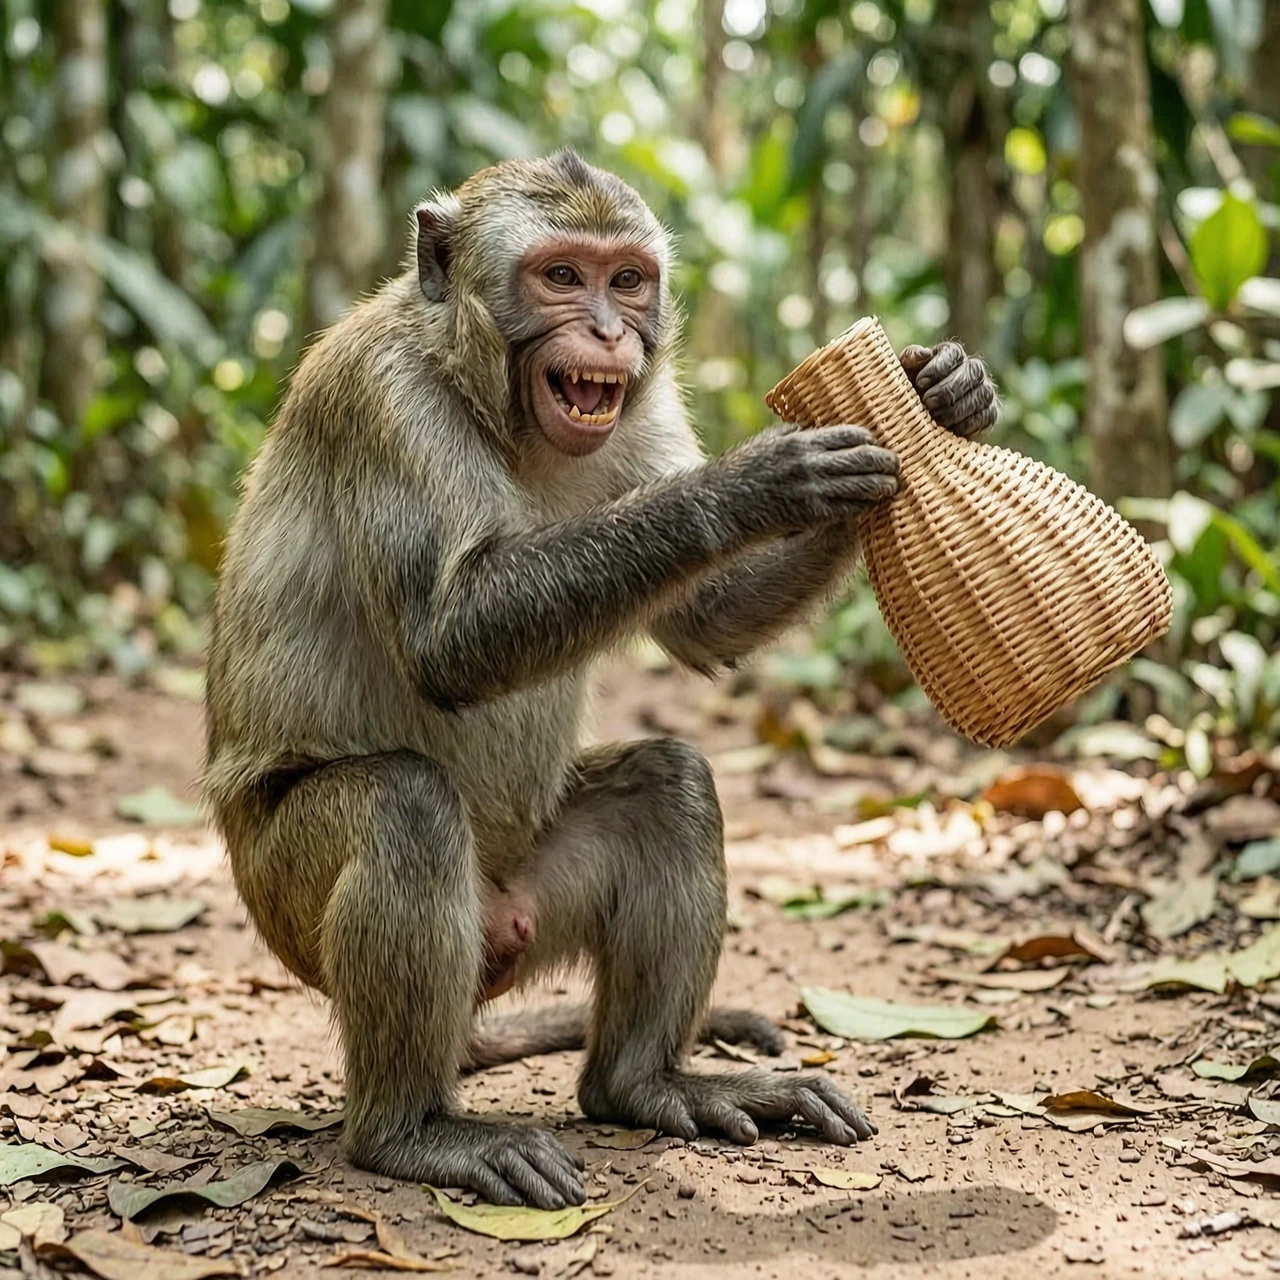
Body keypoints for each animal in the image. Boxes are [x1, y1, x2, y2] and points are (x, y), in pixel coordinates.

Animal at [204, 149, 999, 1211]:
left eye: (626, 279)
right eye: (559, 276)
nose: (611, 332)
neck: (495, 402)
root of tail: (496, 928)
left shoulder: (644, 403)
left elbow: (707, 618)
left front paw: (942, 394)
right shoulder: (381, 400)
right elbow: (446, 637)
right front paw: (750, 484)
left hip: (532, 897)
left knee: (670, 787)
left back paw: (644, 1085)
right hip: (282, 895)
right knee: (404, 808)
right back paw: (412, 1133)